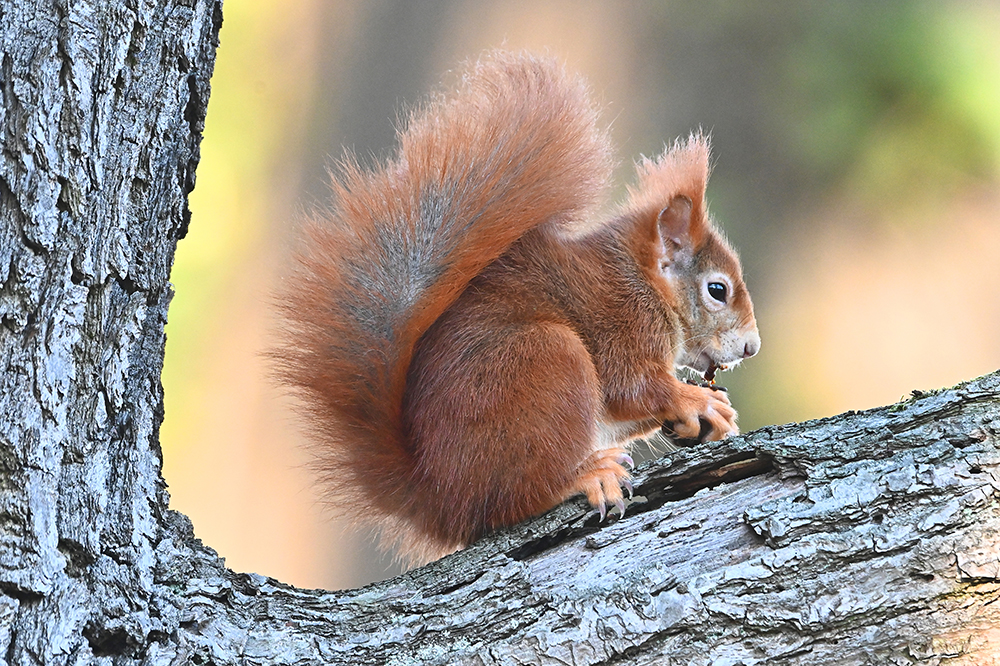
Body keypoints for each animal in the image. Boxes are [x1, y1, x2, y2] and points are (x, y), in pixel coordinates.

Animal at [274, 49, 756, 564]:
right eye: (718, 290)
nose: (752, 347)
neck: (643, 281)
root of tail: (440, 497)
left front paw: (705, 418)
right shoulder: (622, 322)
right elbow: (632, 387)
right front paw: (696, 399)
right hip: (545, 361)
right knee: (513, 501)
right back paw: (583, 475)